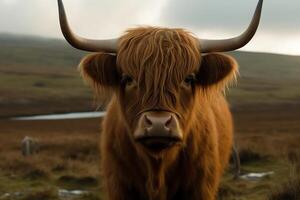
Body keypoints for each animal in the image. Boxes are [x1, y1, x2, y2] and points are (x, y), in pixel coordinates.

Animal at [56, 0, 262, 199]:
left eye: (189, 78)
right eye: (128, 78)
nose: (158, 124)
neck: (157, 170)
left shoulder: (201, 186)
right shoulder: (119, 185)